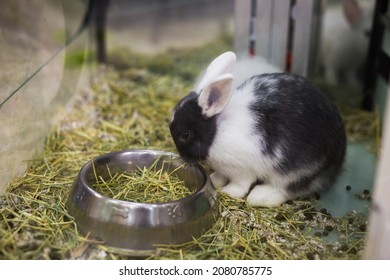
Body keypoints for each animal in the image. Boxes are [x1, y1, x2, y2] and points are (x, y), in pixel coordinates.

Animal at [169, 51, 346, 207]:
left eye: (185, 134)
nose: (182, 157)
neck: (217, 130)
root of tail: (338, 162)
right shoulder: (223, 168)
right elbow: (220, 175)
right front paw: (214, 180)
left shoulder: (243, 170)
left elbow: (240, 185)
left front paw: (228, 192)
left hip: (296, 171)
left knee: (287, 189)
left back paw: (259, 196)